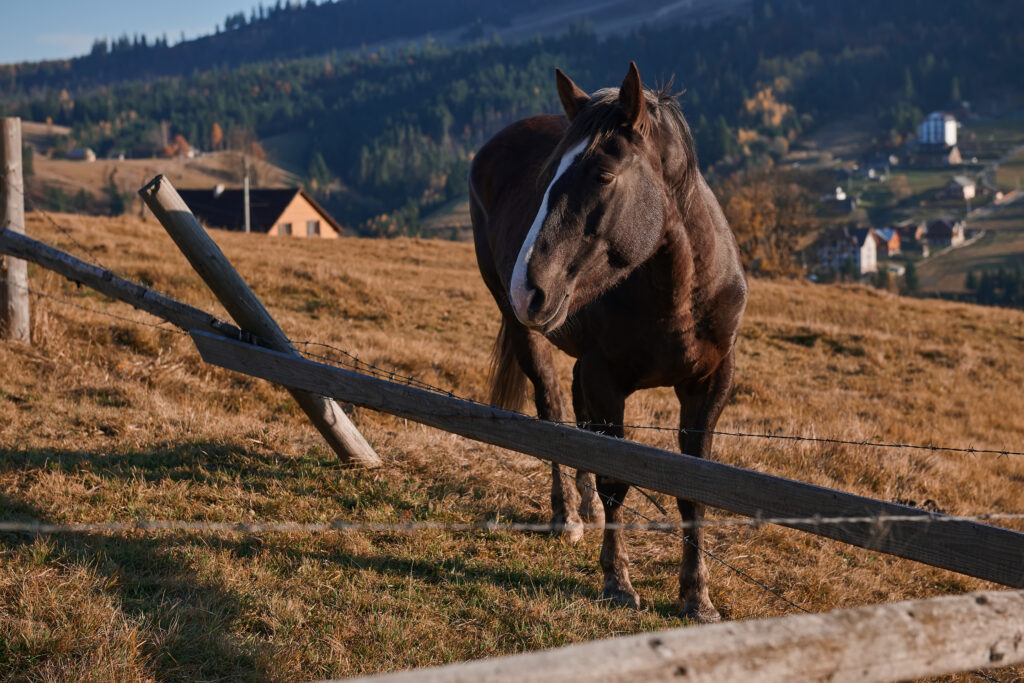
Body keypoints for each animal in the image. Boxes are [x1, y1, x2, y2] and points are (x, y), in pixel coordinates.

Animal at [468, 62, 747, 622]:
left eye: (602, 174)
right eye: (544, 180)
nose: (528, 288)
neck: (678, 293)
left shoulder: (710, 382)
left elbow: (693, 490)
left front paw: (697, 597)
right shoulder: (605, 378)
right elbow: (616, 478)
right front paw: (617, 582)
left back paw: (586, 507)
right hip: (531, 336)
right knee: (552, 410)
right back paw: (568, 516)